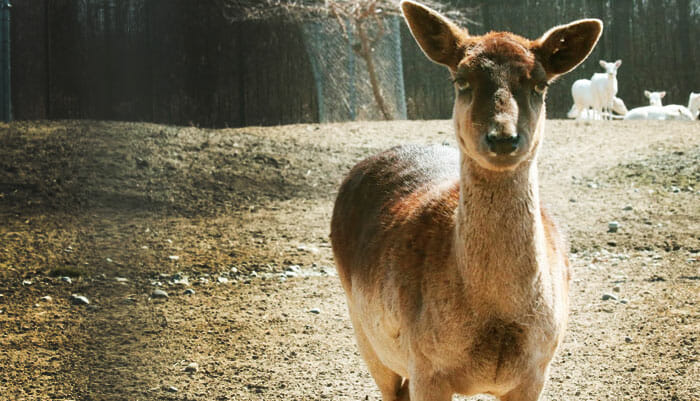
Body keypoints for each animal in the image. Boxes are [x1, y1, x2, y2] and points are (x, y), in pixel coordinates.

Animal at [328, 1, 600, 398]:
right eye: (462, 81)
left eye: (540, 83)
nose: (503, 138)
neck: (495, 320)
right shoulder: (425, 365)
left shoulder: (537, 369)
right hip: (367, 335)